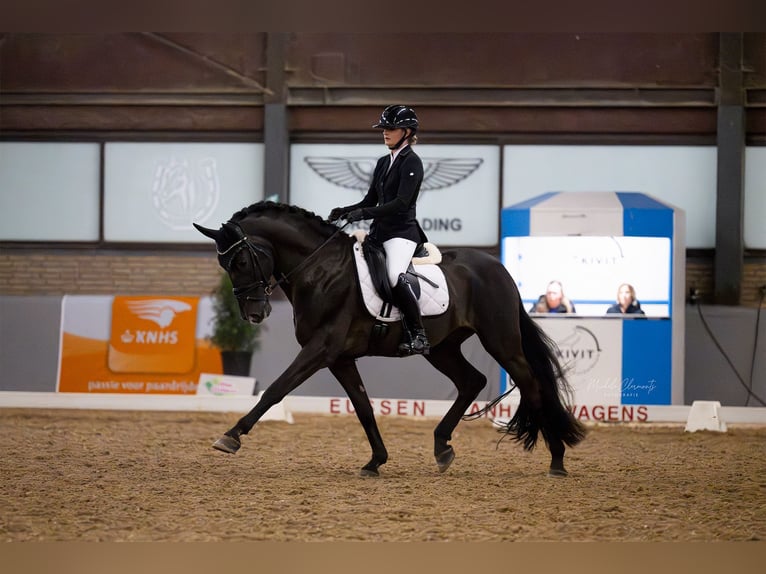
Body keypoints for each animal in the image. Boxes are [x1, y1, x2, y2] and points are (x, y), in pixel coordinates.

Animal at [195, 200, 584, 480]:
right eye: (226, 265)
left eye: (241, 261)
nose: (254, 314)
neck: (320, 270)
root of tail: (497, 268)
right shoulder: (340, 358)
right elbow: (363, 407)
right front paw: (375, 461)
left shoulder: (320, 349)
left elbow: (275, 390)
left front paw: (231, 436)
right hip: (441, 348)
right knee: (472, 381)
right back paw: (442, 447)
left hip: (499, 340)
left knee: (530, 383)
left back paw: (557, 460)